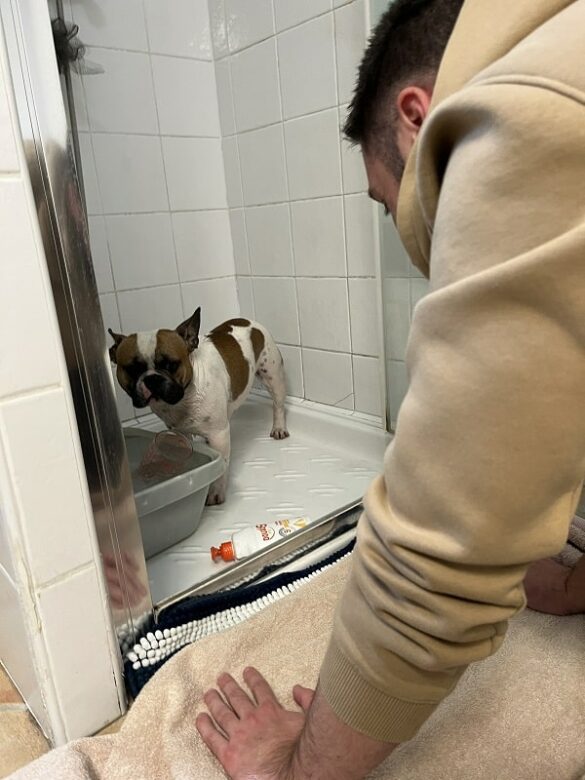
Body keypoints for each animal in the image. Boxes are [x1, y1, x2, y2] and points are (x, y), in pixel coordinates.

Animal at [109, 308, 288, 502]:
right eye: (132, 369)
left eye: (171, 364)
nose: (152, 378)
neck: (184, 397)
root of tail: (248, 321)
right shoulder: (180, 434)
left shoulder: (219, 435)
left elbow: (221, 468)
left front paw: (215, 492)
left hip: (272, 376)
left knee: (278, 404)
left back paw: (279, 427)